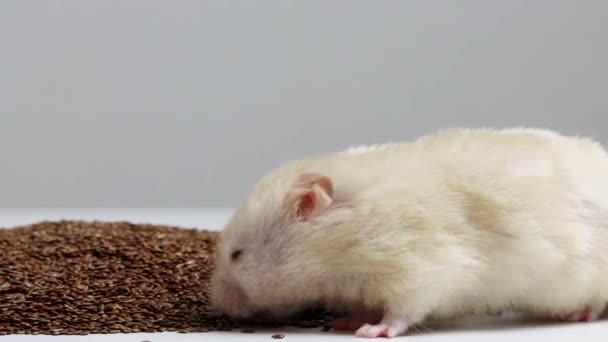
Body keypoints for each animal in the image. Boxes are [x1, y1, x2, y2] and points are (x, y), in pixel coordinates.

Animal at [210, 127, 608, 336]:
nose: (217, 303)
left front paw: (371, 331)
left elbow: (403, 309)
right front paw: (347, 321)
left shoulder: (420, 267)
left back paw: (578, 315)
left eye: (237, 254)